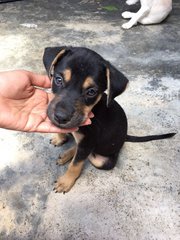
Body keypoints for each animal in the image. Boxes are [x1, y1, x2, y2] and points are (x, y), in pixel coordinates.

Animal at [43, 46, 176, 193]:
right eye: (58, 79)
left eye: (91, 92)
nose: (61, 117)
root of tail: (125, 137)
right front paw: (59, 137)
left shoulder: (89, 141)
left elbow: (75, 164)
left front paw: (65, 182)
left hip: (101, 160)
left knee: (87, 154)